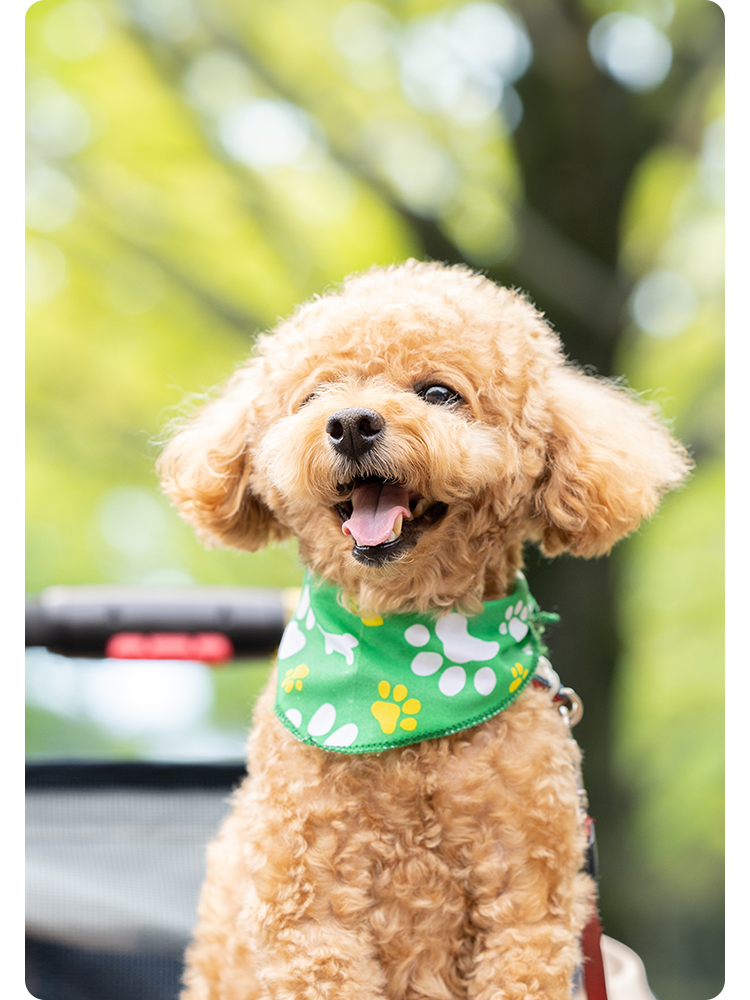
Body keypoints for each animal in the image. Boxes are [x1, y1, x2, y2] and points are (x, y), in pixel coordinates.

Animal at [159, 262, 692, 996]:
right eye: (314, 396)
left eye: (439, 393)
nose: (351, 424)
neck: (410, 665)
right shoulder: (311, 907)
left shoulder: (529, 907)